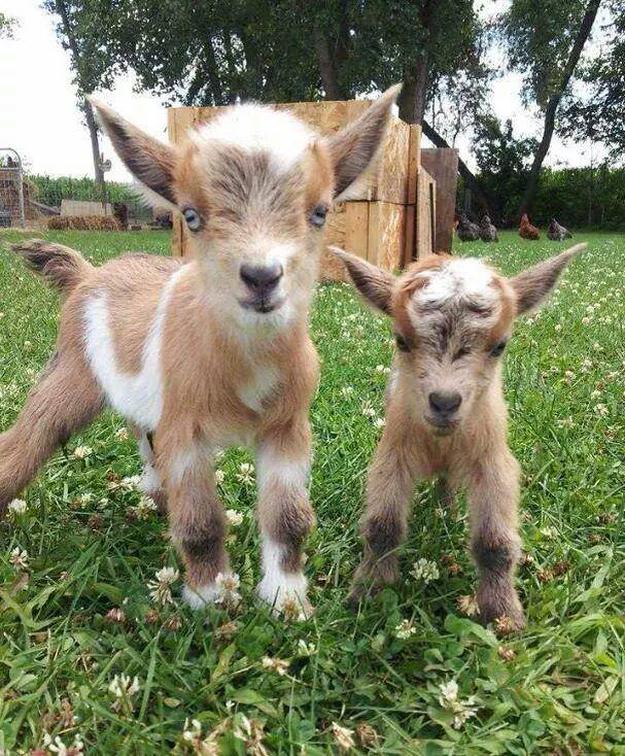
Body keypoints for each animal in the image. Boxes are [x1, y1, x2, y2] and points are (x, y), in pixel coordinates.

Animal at [2, 86, 400, 615]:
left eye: (320, 212)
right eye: (191, 216)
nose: (260, 277)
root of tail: (88, 275)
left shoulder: (287, 425)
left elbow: (289, 516)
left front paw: (286, 599)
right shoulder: (186, 428)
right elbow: (200, 521)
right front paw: (210, 597)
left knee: (143, 439)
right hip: (71, 373)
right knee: (30, 437)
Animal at [334, 243, 585, 630]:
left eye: (499, 346)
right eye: (401, 340)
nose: (444, 402)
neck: (442, 441)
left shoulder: (493, 462)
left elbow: (494, 543)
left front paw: (503, 614)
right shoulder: (392, 455)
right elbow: (382, 526)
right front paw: (369, 591)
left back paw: (447, 511)